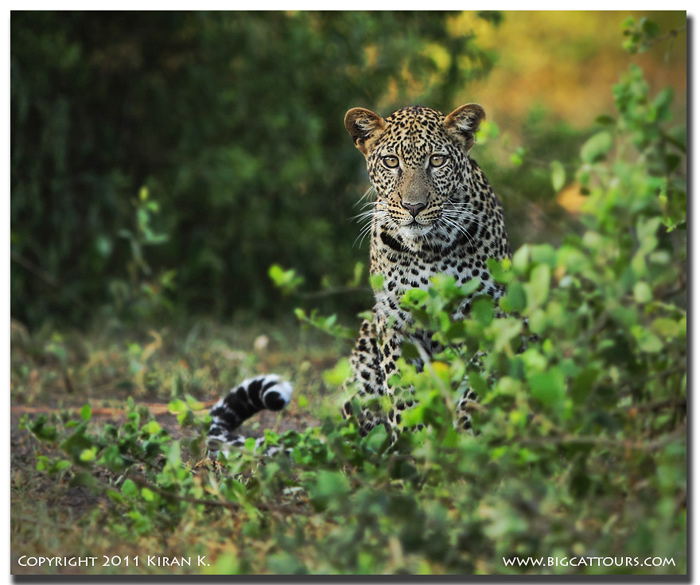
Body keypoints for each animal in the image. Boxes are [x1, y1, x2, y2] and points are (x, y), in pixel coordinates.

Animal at [207, 104, 511, 456]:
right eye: (391, 161)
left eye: (437, 161)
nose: (414, 207)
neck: (430, 247)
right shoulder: (395, 322)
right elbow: (404, 394)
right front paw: (416, 448)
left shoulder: (488, 315)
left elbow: (476, 388)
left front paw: (470, 444)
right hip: (365, 346)